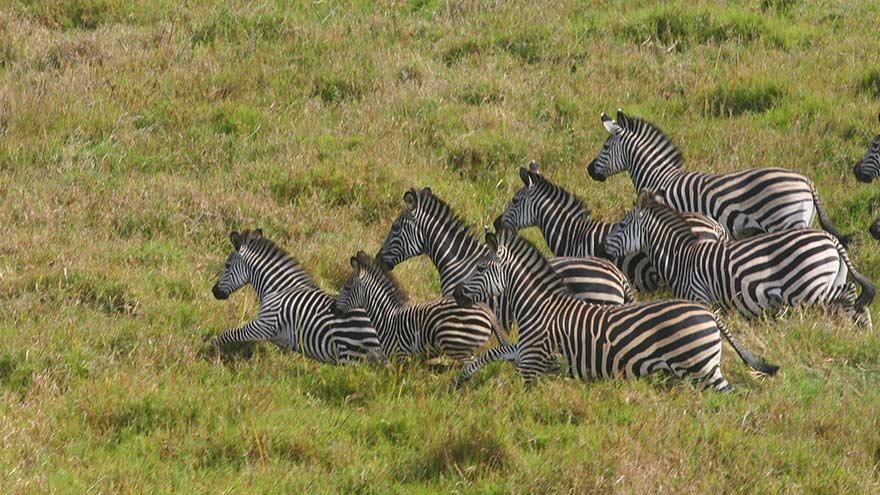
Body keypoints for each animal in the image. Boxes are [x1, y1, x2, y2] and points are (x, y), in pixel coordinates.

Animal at [210, 229, 384, 364]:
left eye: (227, 265)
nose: (214, 291)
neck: (277, 289)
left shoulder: (264, 325)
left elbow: (229, 334)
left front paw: (212, 350)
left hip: (350, 356)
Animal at [333, 251, 494, 362]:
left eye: (347, 287)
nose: (333, 309)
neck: (387, 318)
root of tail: (486, 310)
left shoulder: (400, 355)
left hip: (457, 345)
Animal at [451, 228, 779, 390]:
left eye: (480, 267)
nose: (455, 293)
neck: (537, 306)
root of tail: (708, 313)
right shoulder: (526, 351)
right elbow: (496, 351)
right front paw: (460, 380)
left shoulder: (533, 362)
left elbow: (524, 391)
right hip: (698, 368)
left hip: (700, 367)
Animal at [605, 191, 875, 327]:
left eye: (623, 225)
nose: (605, 245)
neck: (681, 257)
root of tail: (831, 239)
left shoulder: (700, 296)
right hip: (830, 279)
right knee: (849, 301)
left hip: (810, 286)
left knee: (849, 292)